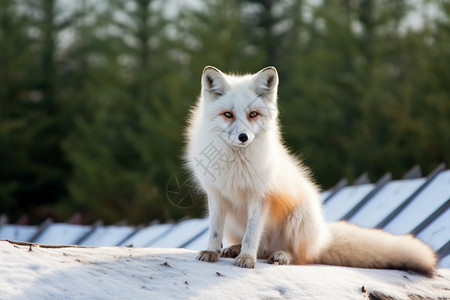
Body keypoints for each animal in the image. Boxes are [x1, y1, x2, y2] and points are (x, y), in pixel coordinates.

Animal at [185, 65, 438, 276]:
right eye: (228, 115)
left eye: (253, 114)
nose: (243, 137)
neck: (235, 164)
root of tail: (323, 236)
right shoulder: (216, 195)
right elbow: (214, 231)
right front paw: (212, 253)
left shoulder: (261, 197)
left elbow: (251, 235)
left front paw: (247, 258)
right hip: (233, 223)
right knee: (260, 247)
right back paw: (234, 249)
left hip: (298, 219)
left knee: (299, 257)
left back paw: (281, 255)